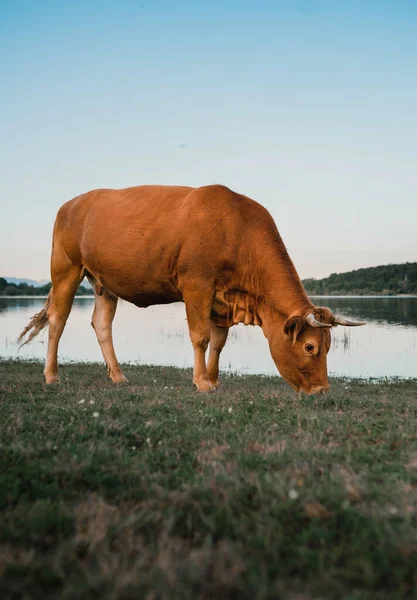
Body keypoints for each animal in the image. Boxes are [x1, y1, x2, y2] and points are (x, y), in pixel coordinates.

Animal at [19, 185, 364, 396]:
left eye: (330, 346)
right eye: (310, 347)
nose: (322, 390)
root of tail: (74, 202)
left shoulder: (223, 300)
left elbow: (219, 342)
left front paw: (213, 378)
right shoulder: (196, 284)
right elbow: (200, 336)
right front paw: (202, 383)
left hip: (104, 282)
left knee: (102, 325)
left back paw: (118, 376)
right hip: (65, 268)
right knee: (58, 321)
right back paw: (51, 375)